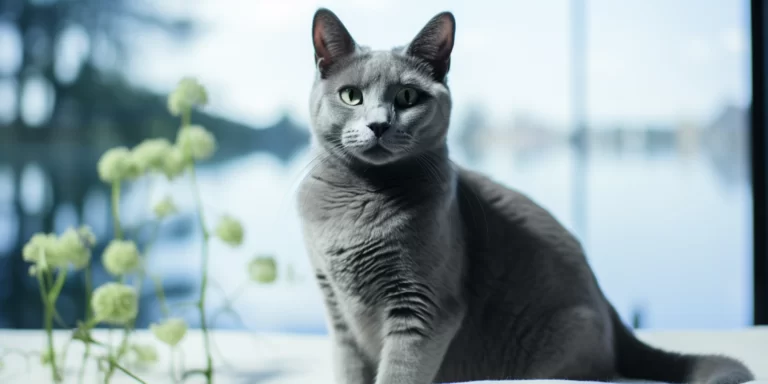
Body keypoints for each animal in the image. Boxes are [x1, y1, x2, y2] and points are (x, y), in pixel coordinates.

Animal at [296, 9, 756, 384]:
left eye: (407, 97)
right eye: (351, 96)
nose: (377, 124)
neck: (358, 200)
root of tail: (608, 305)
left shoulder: (424, 310)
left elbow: (398, 373)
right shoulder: (337, 313)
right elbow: (350, 370)